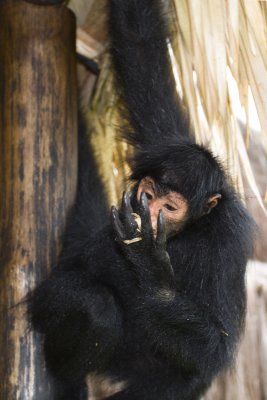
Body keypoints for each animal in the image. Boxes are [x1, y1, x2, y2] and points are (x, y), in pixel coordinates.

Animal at [28, 0, 256, 400]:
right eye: (147, 194)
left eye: (169, 207)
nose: (145, 211)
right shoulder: (162, 144)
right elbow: (139, 39)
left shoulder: (230, 239)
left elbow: (216, 347)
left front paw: (149, 265)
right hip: (46, 303)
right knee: (96, 307)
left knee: (190, 372)